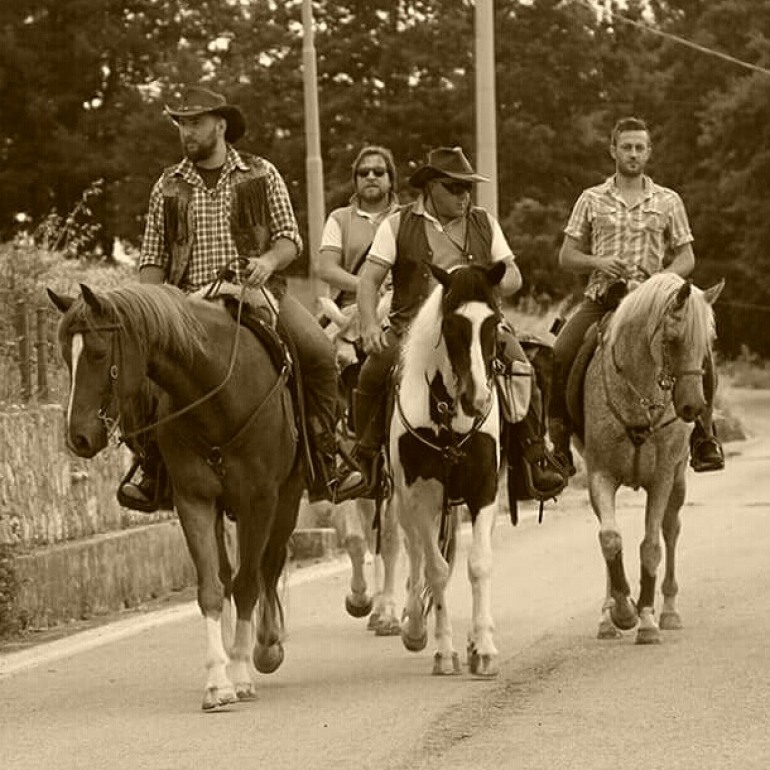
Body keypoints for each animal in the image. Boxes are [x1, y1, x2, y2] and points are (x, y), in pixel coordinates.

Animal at [46, 280, 306, 708]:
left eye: (98, 353)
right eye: (67, 355)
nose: (78, 437)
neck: (220, 394)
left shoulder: (260, 501)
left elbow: (249, 583)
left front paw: (241, 671)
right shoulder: (194, 501)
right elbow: (212, 589)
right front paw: (218, 681)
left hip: (287, 499)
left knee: (268, 566)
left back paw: (266, 646)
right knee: (228, 574)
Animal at [390, 260, 504, 676]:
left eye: (494, 322)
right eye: (452, 325)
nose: (478, 399)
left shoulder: (484, 490)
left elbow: (479, 564)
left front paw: (483, 648)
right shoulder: (420, 497)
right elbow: (436, 571)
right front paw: (443, 650)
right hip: (403, 503)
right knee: (415, 552)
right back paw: (414, 627)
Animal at [580, 272, 724, 644]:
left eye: (709, 342)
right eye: (673, 340)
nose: (692, 406)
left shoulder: (662, 478)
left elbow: (651, 546)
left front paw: (646, 619)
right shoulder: (599, 474)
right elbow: (609, 538)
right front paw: (622, 610)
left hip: (679, 480)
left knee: (671, 530)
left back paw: (669, 611)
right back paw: (607, 618)